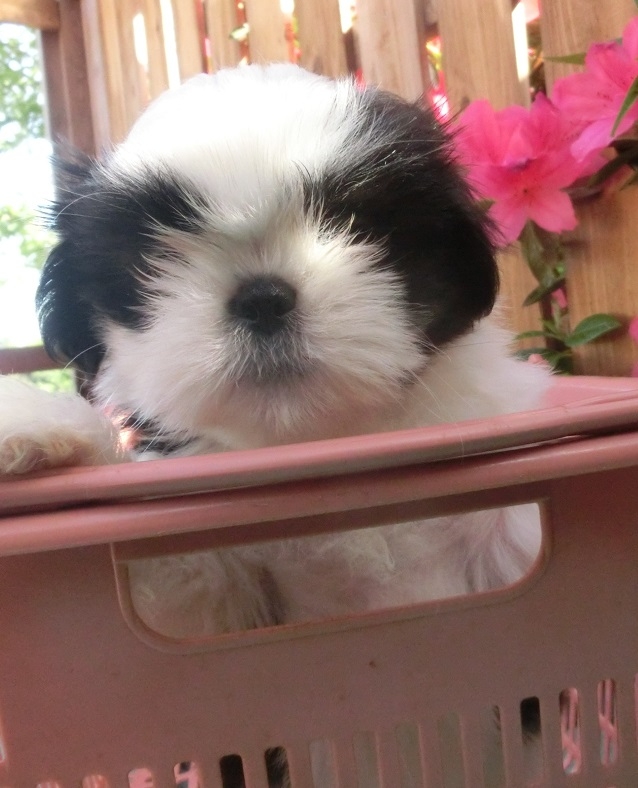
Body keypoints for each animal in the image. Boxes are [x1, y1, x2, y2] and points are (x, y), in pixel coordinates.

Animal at [0, 64, 550, 784]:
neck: (325, 445)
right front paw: (41, 430)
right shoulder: (213, 612)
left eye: (353, 220)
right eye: (153, 257)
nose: (261, 296)